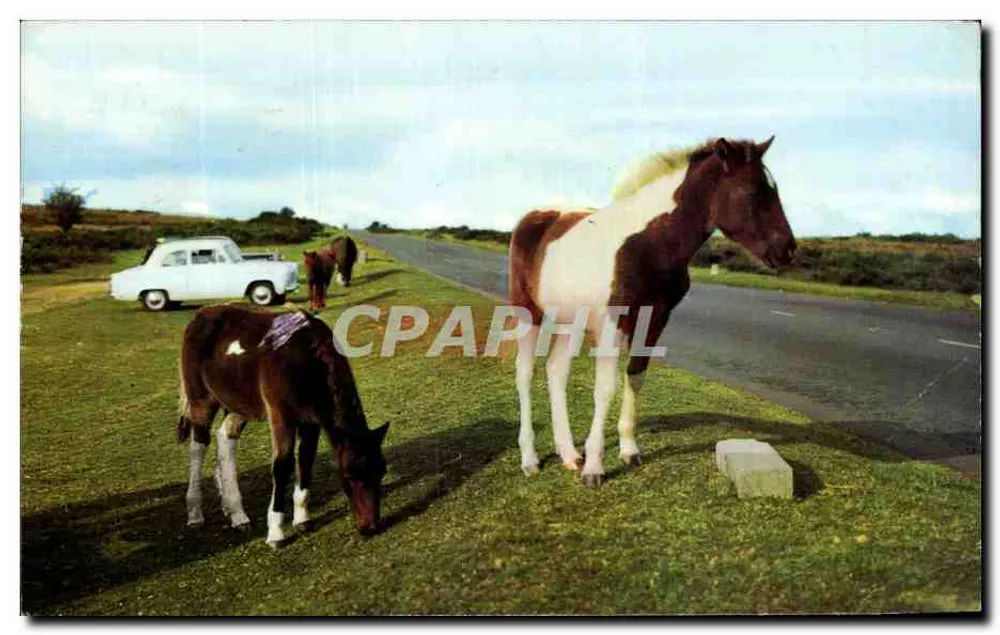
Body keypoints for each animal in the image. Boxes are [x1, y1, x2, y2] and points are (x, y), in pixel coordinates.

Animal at [178, 304, 390, 545]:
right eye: (350, 475)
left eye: (381, 472)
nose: (369, 527)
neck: (306, 360)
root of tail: (200, 315)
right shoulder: (282, 416)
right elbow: (283, 464)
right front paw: (276, 532)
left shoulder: (310, 421)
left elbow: (305, 459)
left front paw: (302, 519)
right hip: (201, 400)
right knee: (198, 446)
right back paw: (195, 513)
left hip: (238, 405)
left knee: (225, 437)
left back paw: (237, 515)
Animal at [508, 136, 797, 487]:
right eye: (754, 191)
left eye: (774, 189)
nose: (788, 250)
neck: (648, 243)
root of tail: (535, 217)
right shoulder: (612, 321)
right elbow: (606, 387)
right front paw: (595, 468)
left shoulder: (655, 319)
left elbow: (635, 376)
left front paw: (628, 450)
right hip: (528, 310)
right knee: (525, 372)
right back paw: (530, 459)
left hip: (570, 320)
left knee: (556, 370)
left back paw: (569, 455)